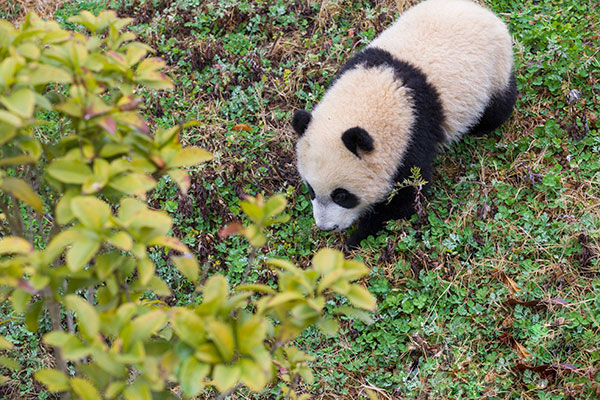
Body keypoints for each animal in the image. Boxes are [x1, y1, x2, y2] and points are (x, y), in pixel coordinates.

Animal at [290, 0, 516, 247]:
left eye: (341, 195)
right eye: (311, 189)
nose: (326, 227)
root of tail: (484, 12)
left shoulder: (413, 131)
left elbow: (407, 194)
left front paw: (356, 239)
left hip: (495, 68)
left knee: (499, 106)